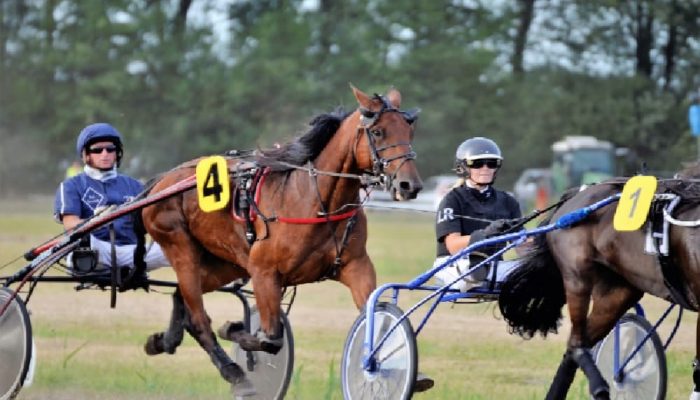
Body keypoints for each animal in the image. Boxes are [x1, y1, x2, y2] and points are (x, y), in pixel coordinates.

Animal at [137, 86, 422, 396]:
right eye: (379, 132)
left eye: (409, 130)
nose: (409, 185)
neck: (315, 201)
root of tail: (163, 181)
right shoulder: (264, 271)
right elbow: (271, 339)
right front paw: (233, 329)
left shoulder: (356, 266)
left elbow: (373, 315)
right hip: (180, 246)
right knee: (198, 315)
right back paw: (232, 370)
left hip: (228, 263)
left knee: (182, 295)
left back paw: (163, 341)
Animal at [500, 162, 700, 400]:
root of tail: (575, 196)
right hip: (577, 277)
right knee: (577, 344)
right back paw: (600, 387)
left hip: (618, 292)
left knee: (574, 347)